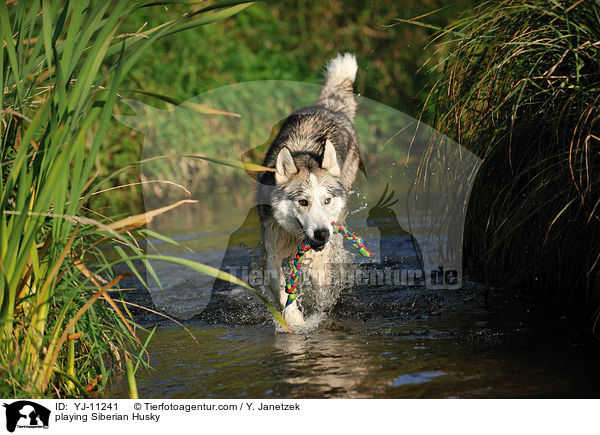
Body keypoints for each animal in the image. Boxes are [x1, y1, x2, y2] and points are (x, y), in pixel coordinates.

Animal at [254, 53, 358, 328]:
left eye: (326, 200)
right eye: (303, 202)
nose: (321, 233)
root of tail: (328, 108)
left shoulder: (316, 257)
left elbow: (319, 288)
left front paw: (318, 312)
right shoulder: (271, 254)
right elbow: (282, 291)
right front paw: (295, 320)